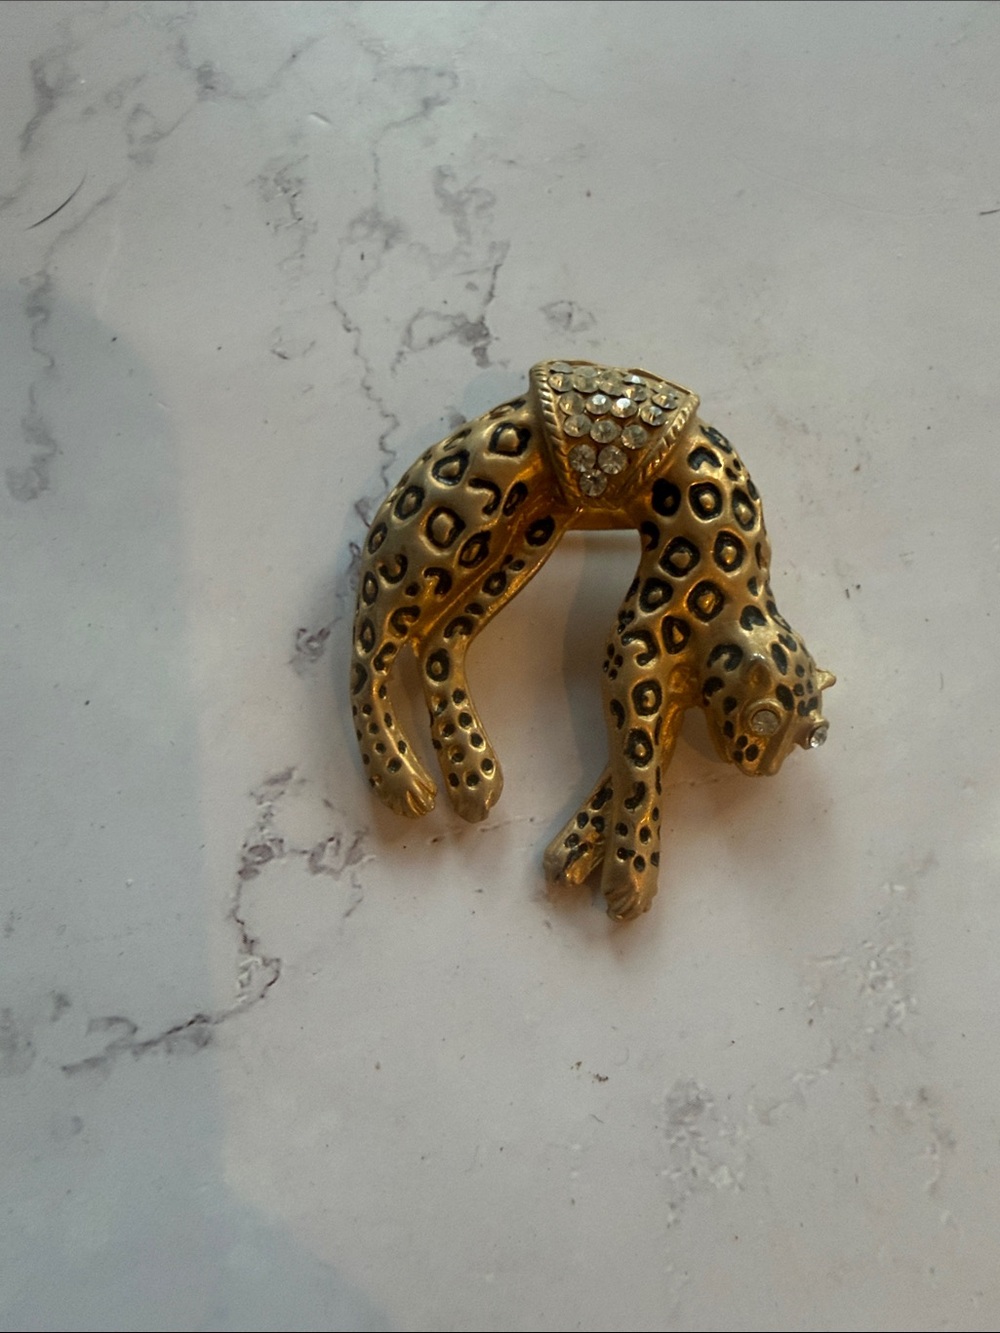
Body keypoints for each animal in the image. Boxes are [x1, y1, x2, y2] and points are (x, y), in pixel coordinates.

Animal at [350, 360, 834, 921]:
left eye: (810, 737)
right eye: (764, 719)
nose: (762, 769)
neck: (737, 596)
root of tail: (504, 413)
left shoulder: (666, 685)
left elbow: (633, 772)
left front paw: (578, 852)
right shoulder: (631, 658)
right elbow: (640, 771)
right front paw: (633, 879)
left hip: (531, 530)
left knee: (437, 641)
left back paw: (469, 770)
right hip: (454, 532)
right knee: (370, 640)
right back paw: (398, 776)